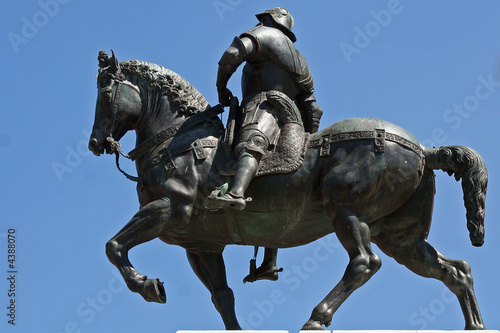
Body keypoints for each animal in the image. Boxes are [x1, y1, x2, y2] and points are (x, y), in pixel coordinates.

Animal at [88, 52, 486, 330]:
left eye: (105, 93)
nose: (95, 143)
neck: (180, 141)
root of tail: (425, 152)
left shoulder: (169, 208)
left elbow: (113, 246)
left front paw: (147, 285)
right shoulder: (201, 245)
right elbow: (222, 297)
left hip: (347, 212)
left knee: (364, 262)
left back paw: (316, 318)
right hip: (399, 236)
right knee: (456, 270)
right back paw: (474, 324)